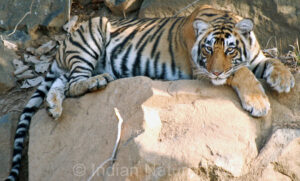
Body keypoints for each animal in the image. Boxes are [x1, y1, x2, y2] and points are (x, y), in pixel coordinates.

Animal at [5, 4, 294, 180]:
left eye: (230, 50)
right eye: (208, 49)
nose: (215, 72)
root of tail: (62, 45)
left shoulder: (253, 57)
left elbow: (268, 60)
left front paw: (284, 78)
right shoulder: (199, 71)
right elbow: (241, 73)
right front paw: (259, 102)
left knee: (61, 83)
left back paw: (54, 107)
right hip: (90, 38)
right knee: (75, 83)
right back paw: (97, 81)